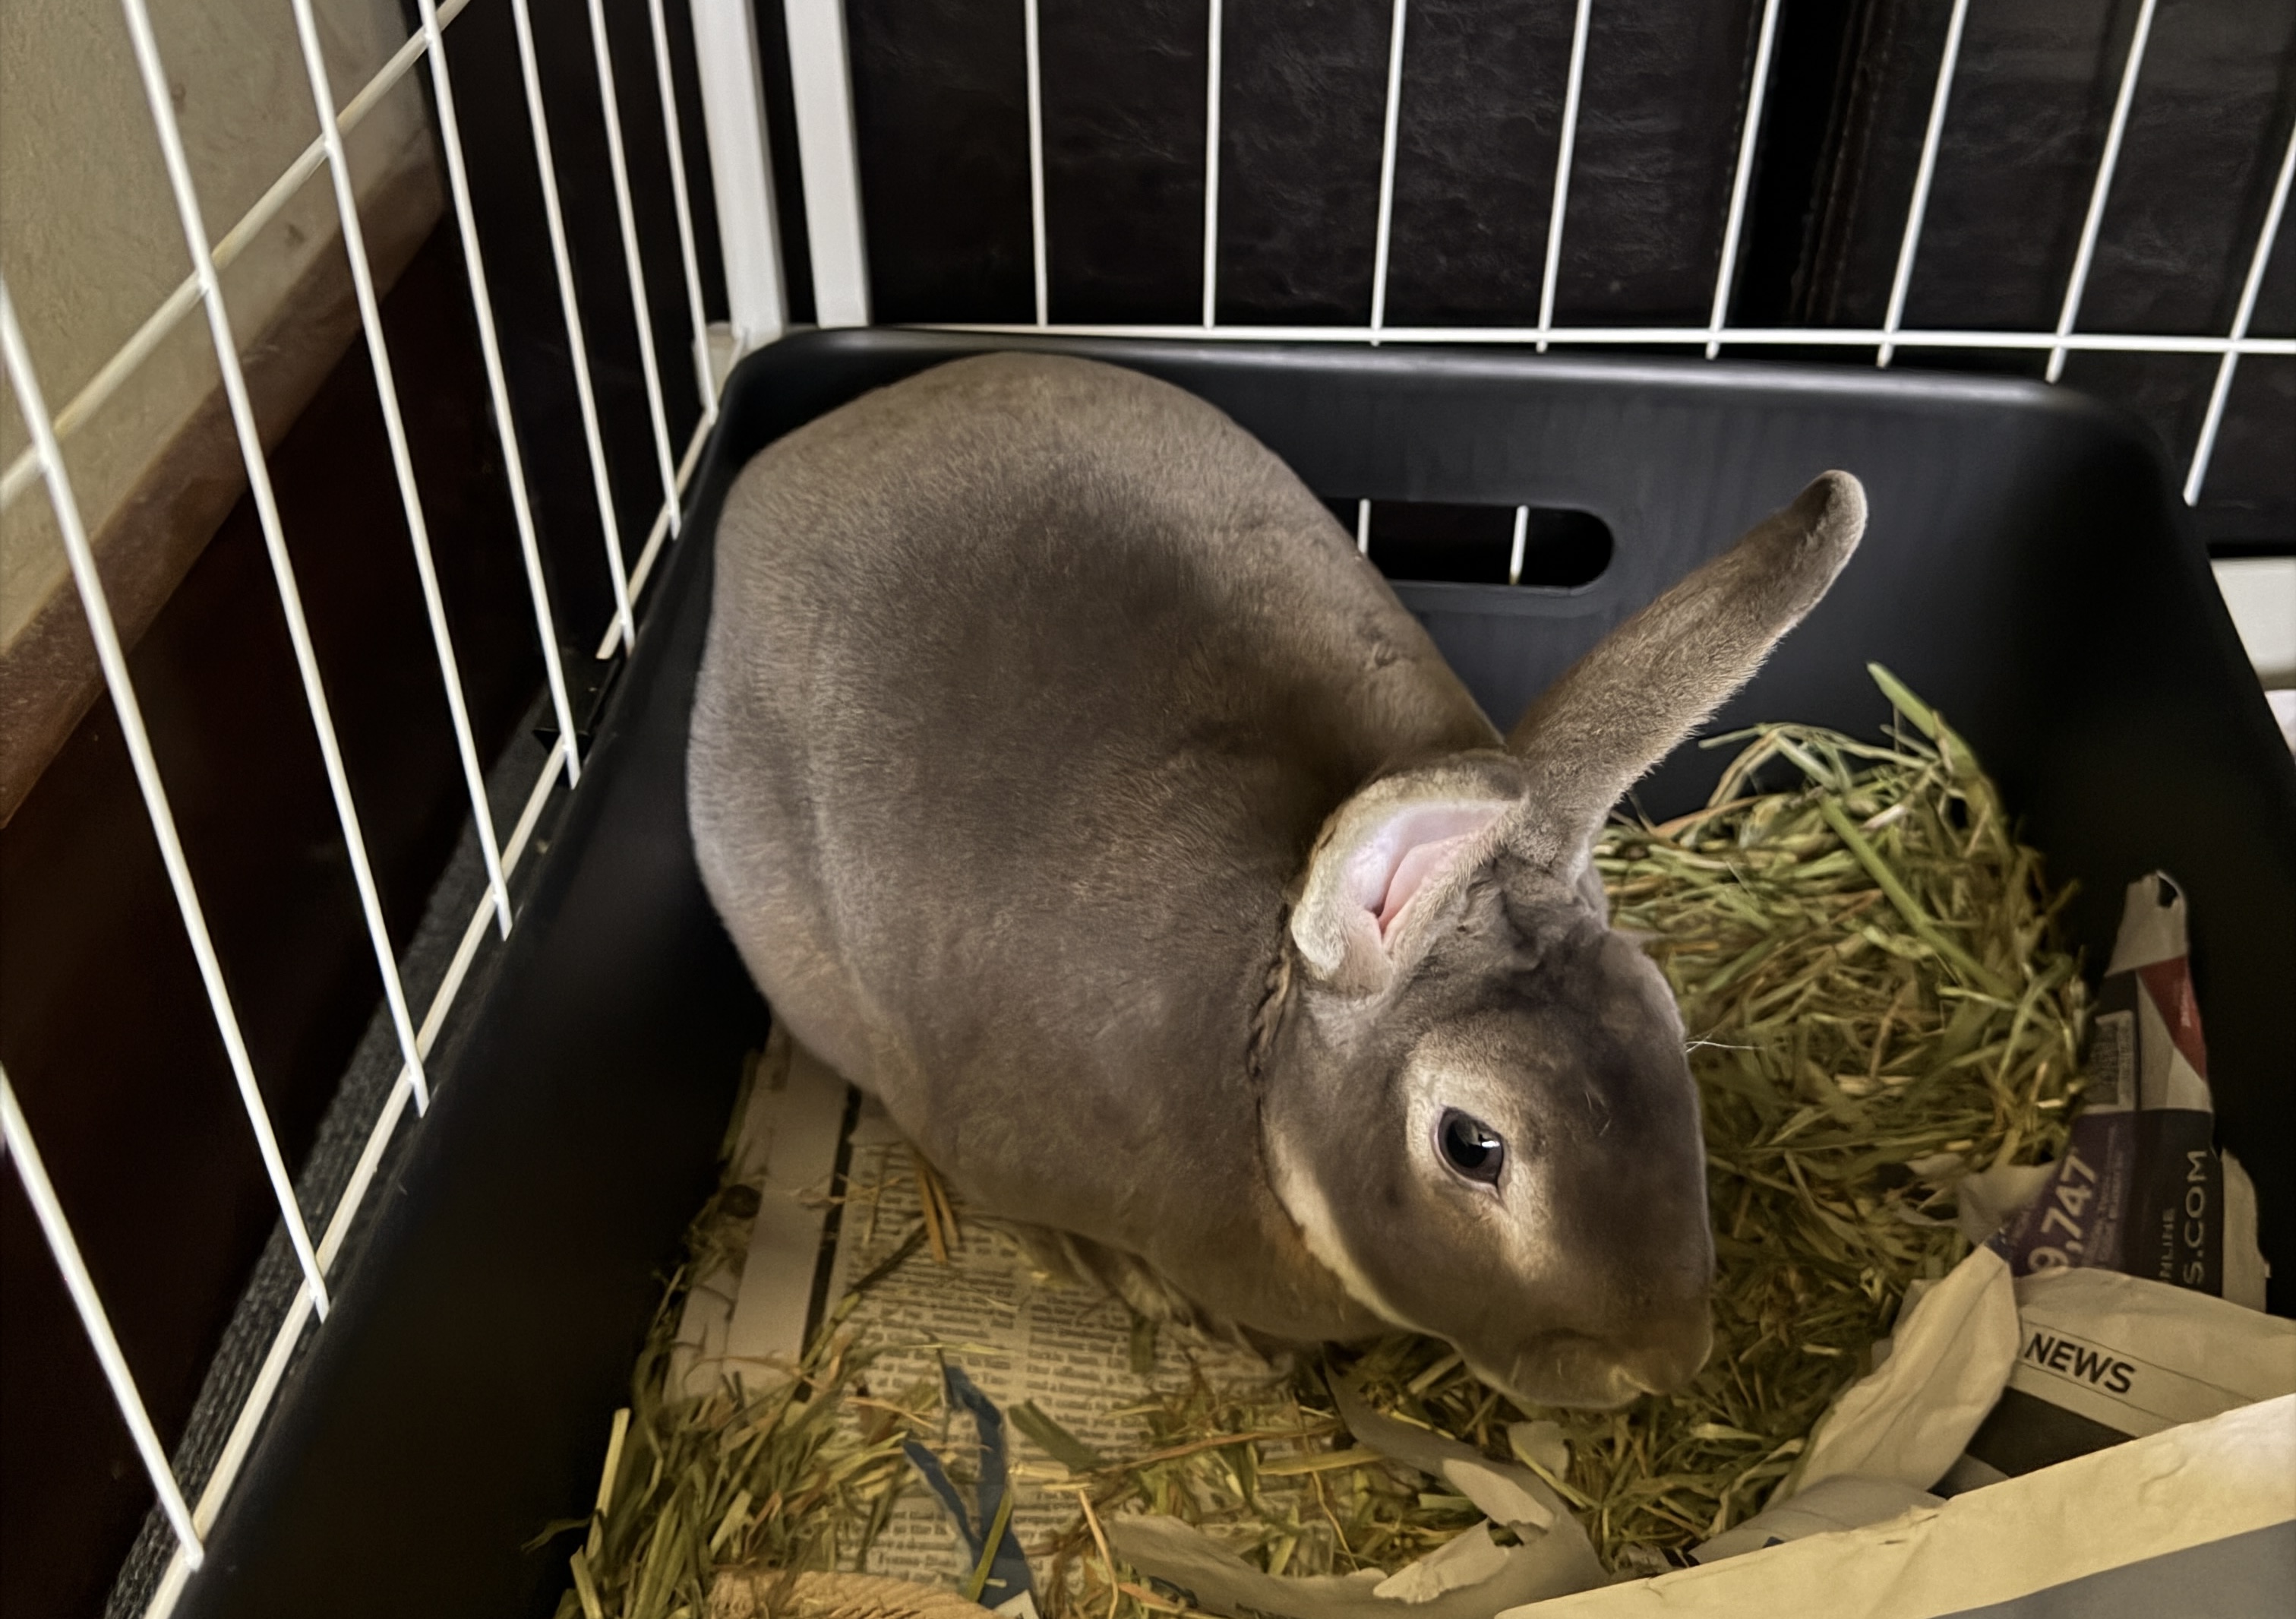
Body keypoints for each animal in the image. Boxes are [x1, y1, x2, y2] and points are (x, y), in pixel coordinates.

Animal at [689, 352, 1864, 1409]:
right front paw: (1150, 1293)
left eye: (1666, 1024)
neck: (1263, 1054)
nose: (1660, 1364)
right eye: (1471, 1144)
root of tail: (773, 474)